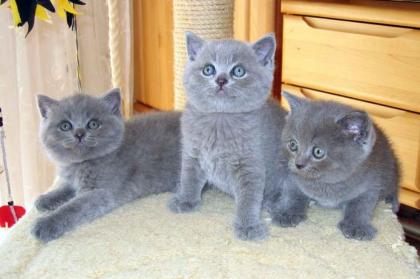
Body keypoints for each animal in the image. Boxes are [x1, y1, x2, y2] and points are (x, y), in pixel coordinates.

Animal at [30, 89, 179, 243]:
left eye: (93, 124)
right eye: (65, 126)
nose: (79, 133)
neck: (81, 164)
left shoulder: (101, 192)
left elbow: (72, 207)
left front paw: (45, 224)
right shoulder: (74, 181)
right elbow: (66, 188)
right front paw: (45, 199)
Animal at [167, 32, 288, 241]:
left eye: (238, 71)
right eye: (208, 69)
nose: (221, 80)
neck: (219, 119)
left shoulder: (250, 164)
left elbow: (248, 198)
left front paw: (249, 226)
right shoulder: (192, 153)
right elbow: (189, 177)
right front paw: (185, 199)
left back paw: (273, 203)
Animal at [272, 93, 400, 242]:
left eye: (318, 152)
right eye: (293, 145)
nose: (298, 164)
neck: (326, 183)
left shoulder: (371, 185)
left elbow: (361, 206)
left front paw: (356, 226)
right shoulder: (293, 179)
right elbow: (292, 193)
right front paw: (287, 213)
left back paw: (390, 201)